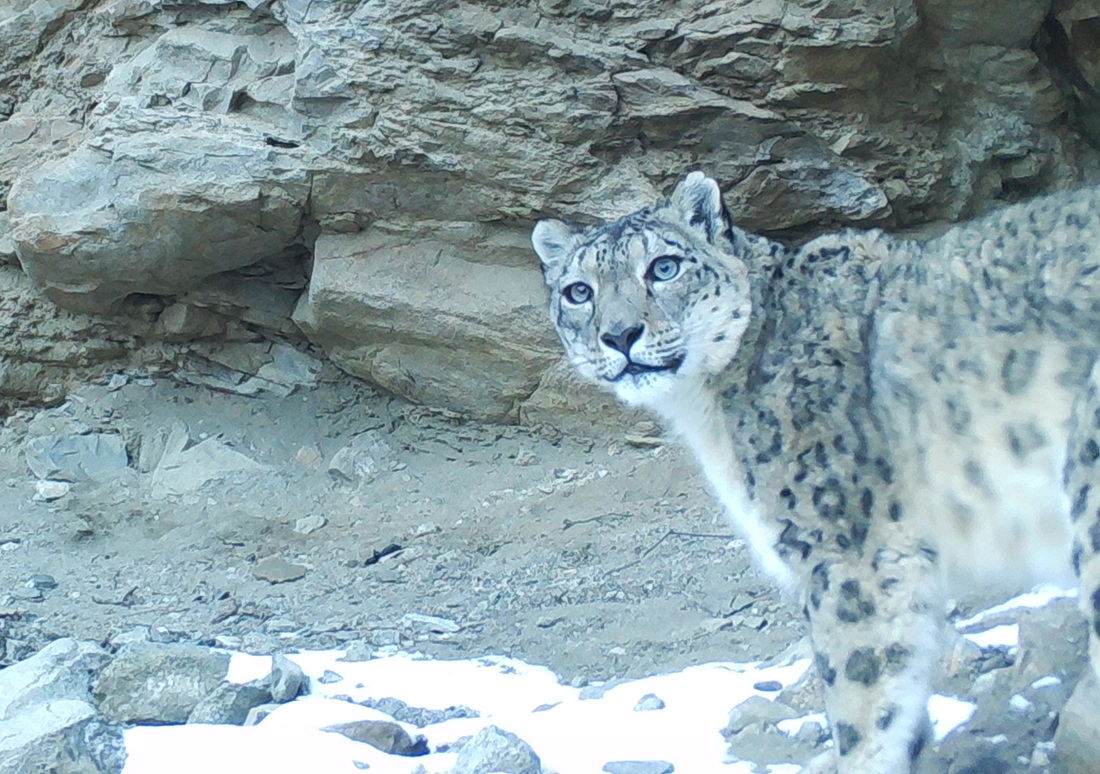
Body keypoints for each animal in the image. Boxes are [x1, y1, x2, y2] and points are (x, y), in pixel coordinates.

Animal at [531, 171, 1100, 773]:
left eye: (663, 267)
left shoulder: (849, 555)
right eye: (578, 291)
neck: (705, 412)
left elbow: (861, 700)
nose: (619, 335)